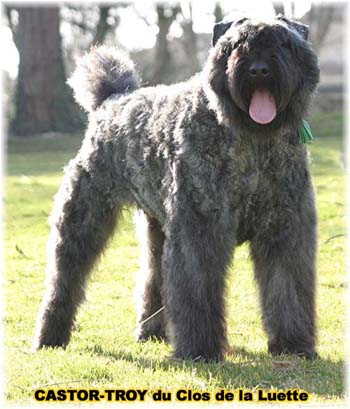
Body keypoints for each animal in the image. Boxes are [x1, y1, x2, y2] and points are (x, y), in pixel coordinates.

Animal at [34, 15, 318, 360]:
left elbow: (287, 286)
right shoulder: (199, 230)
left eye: (284, 43)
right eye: (237, 44)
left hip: (157, 227)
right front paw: (200, 350)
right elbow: (196, 288)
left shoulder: (285, 230)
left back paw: (150, 331)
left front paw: (294, 345)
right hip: (83, 221)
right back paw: (50, 337)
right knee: (64, 280)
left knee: (154, 276)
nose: (259, 69)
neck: (251, 141)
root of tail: (110, 101)